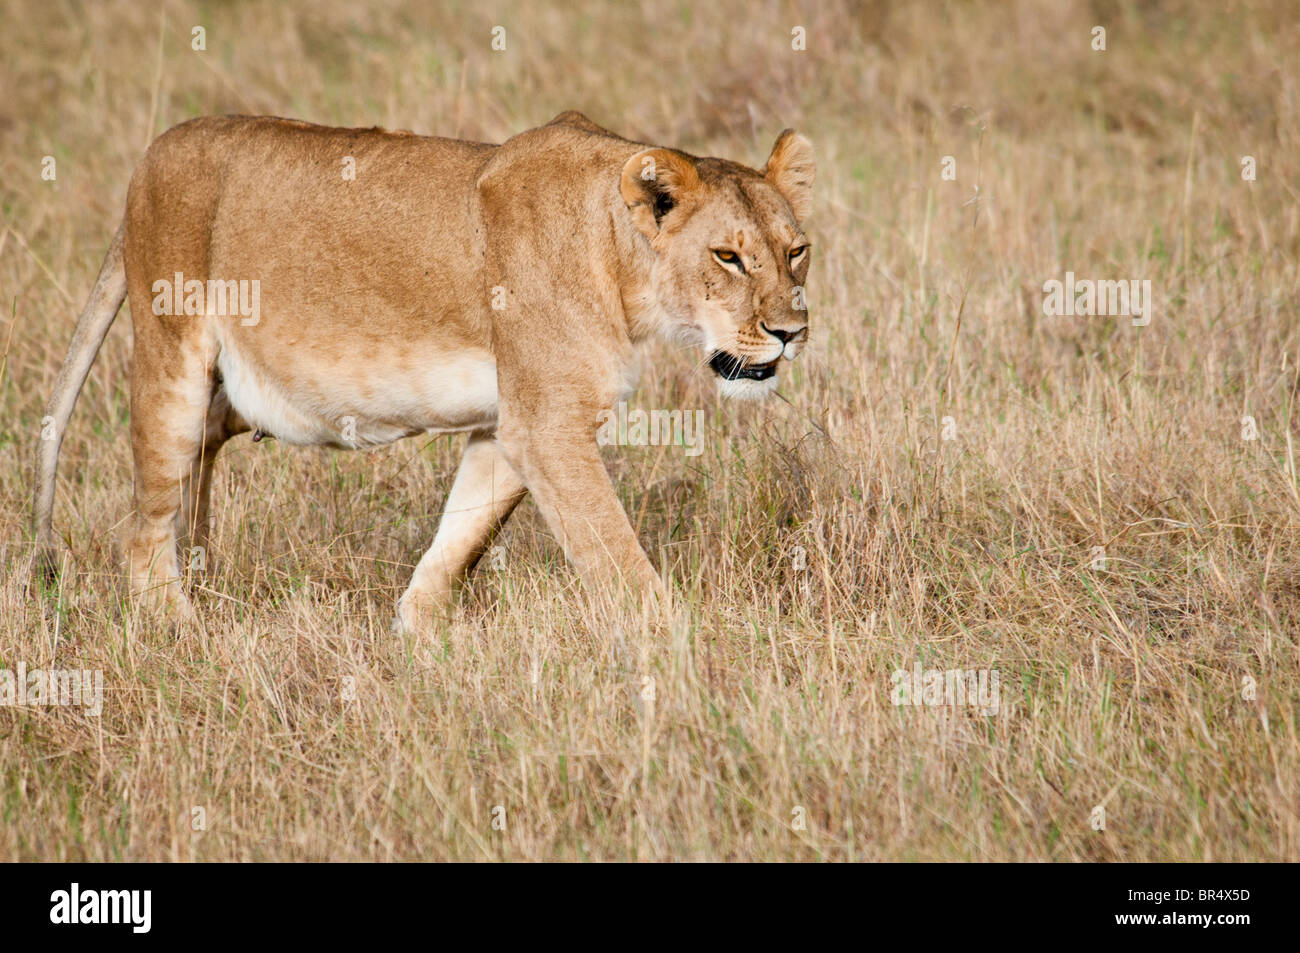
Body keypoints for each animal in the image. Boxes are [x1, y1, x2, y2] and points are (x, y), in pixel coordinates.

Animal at [32, 110, 814, 630]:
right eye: (728, 257)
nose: (790, 333)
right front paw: (682, 660)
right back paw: (181, 632)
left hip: (225, 390)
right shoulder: (548, 426)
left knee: (203, 456)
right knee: (142, 526)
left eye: (796, 250)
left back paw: (203, 577)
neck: (621, 262)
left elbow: (458, 539)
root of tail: (151, 156)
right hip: (172, 359)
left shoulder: (510, 426)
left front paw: (416, 637)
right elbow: (617, 559)